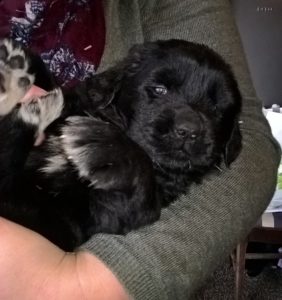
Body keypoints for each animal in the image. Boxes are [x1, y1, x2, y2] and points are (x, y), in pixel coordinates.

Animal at [0, 39, 242, 251]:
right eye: (160, 89)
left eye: (217, 108)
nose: (189, 130)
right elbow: (54, 84)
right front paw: (15, 60)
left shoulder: (104, 209)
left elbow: (140, 181)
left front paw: (102, 143)